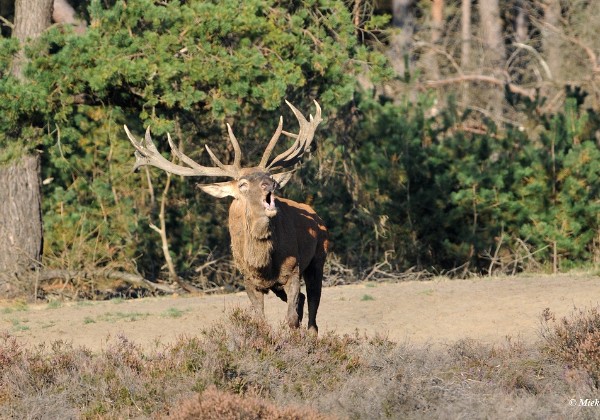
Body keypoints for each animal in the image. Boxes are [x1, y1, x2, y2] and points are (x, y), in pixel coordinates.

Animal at [123, 100, 328, 334]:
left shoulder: (293, 270)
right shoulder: (248, 280)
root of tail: (316, 215)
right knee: (303, 300)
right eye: (243, 184)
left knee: (312, 306)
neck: (262, 264)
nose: (271, 184)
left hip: (318, 257)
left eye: (268, 176)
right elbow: (261, 321)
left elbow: (292, 319)